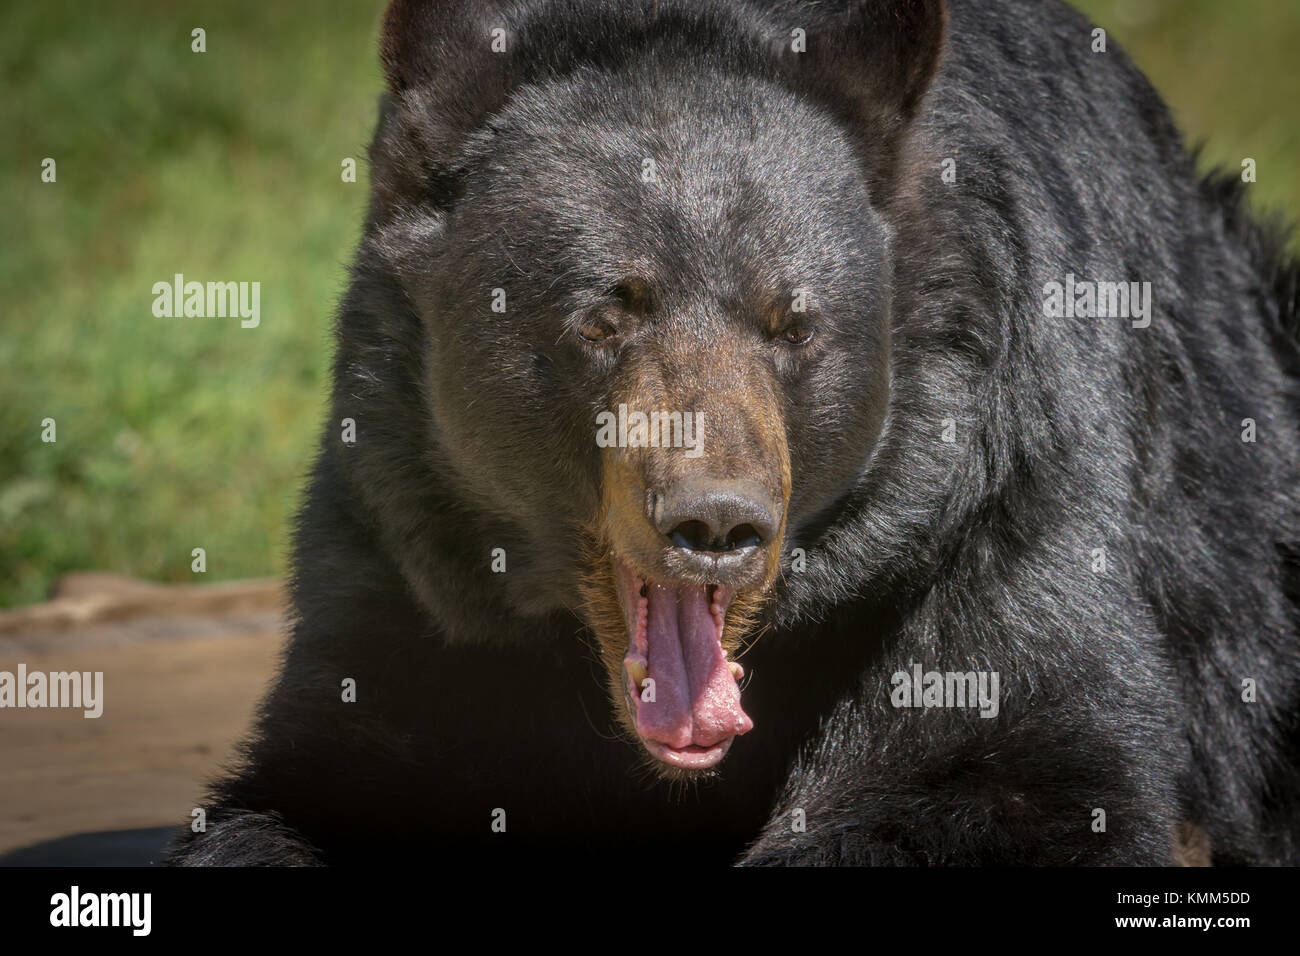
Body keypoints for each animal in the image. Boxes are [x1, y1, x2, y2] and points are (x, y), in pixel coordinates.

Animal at [172, 0, 1300, 868]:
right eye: (604, 314)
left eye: (793, 323)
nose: (715, 521)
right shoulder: (413, 561)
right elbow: (325, 782)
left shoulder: (999, 498)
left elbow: (1003, 761)